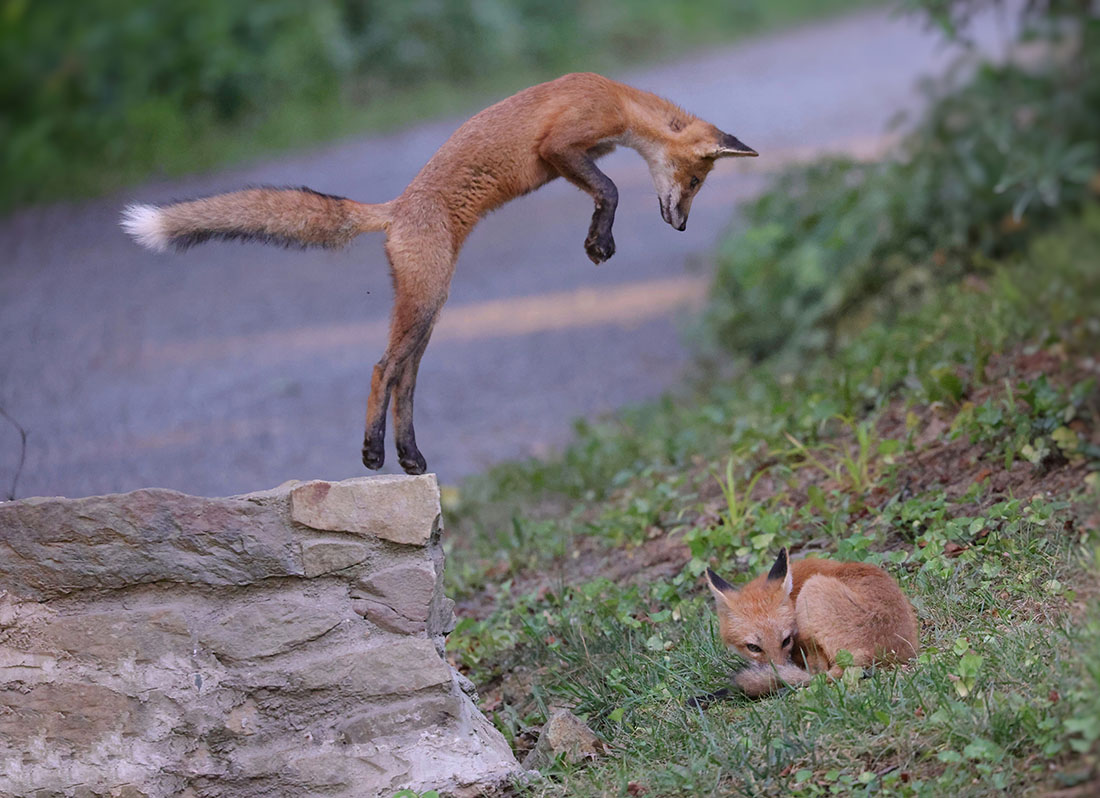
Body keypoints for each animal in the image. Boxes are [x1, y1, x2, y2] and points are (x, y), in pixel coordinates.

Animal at [120, 72, 757, 475]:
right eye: (695, 182)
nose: (680, 226)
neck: (618, 101)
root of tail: (395, 209)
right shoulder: (560, 146)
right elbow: (612, 189)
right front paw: (600, 242)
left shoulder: (569, 162)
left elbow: (604, 190)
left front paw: (598, 238)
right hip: (425, 303)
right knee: (382, 370)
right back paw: (373, 453)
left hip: (432, 309)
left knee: (405, 381)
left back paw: (409, 457)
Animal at [705, 548, 919, 698]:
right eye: (754, 647)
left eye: (786, 640)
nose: (778, 669)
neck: (793, 593)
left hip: (812, 591)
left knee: (819, 673)